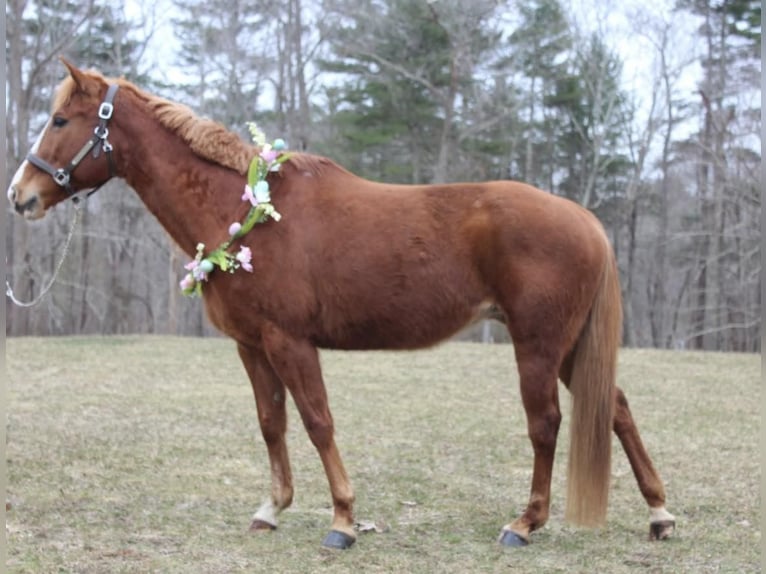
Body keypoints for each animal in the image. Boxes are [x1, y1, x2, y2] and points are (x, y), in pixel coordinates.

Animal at [7, 60, 675, 549]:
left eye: (61, 119)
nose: (20, 195)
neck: (247, 210)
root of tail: (586, 221)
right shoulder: (252, 346)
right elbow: (272, 422)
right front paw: (272, 508)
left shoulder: (290, 342)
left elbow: (317, 421)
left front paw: (344, 521)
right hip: (568, 346)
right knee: (616, 409)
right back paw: (660, 514)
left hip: (538, 344)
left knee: (547, 425)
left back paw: (524, 524)